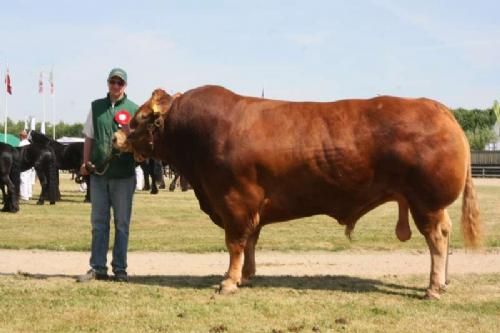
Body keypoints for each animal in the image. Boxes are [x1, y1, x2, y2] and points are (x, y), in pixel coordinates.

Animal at [114, 84, 480, 296]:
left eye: (141, 118)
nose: (117, 137)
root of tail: (437, 107)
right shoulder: (251, 206)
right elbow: (250, 241)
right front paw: (248, 275)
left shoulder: (234, 200)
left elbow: (235, 243)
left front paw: (229, 281)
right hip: (430, 204)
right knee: (445, 234)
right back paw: (443, 281)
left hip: (426, 202)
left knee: (437, 238)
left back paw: (433, 286)